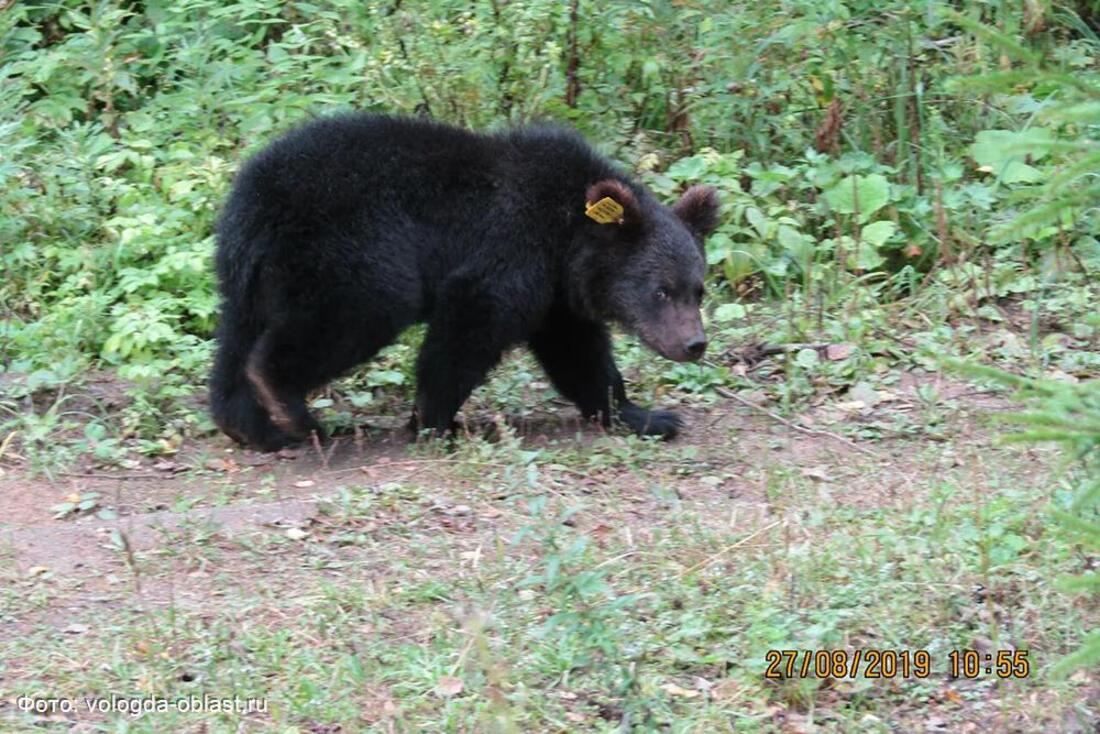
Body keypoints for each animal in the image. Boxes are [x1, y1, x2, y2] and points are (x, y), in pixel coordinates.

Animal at [209, 114, 717, 451]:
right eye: (661, 289)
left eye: (698, 289)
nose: (694, 343)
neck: (568, 237)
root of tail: (254, 202)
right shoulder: (513, 247)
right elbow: (470, 322)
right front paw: (435, 419)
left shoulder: (556, 295)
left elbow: (578, 353)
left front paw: (646, 415)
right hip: (355, 251)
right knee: (351, 314)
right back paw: (287, 405)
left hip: (253, 277)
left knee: (237, 337)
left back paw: (251, 424)